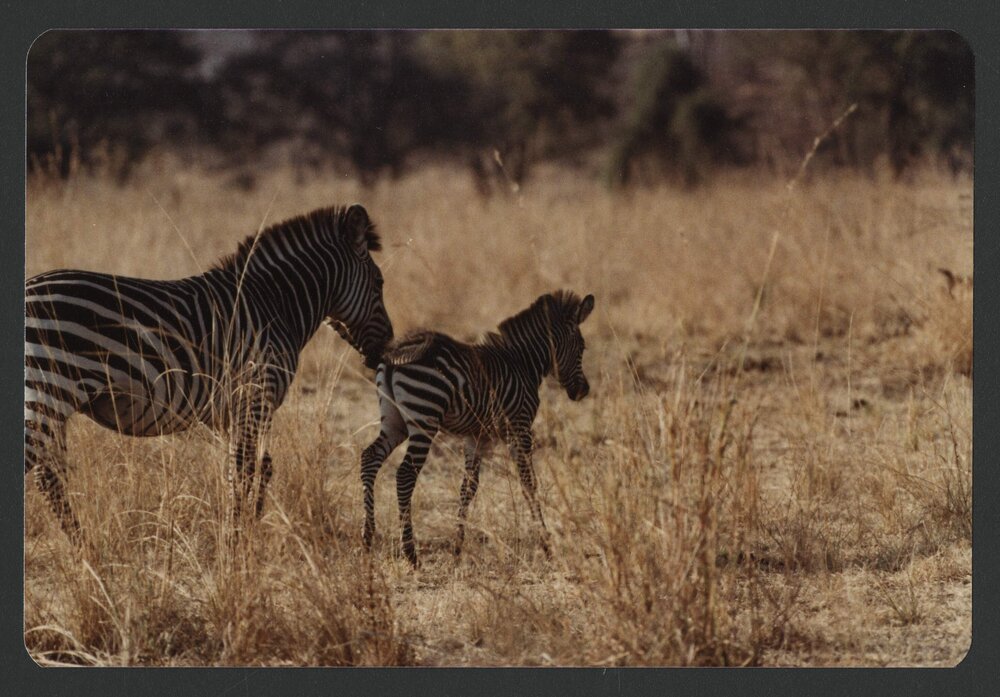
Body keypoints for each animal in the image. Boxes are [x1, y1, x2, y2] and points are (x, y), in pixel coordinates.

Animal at [25, 204, 393, 540]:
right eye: (379, 283)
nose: (387, 346)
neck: (274, 304)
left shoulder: (237, 407)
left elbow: (252, 466)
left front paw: (244, 527)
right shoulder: (256, 393)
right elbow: (246, 468)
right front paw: (237, 538)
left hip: (51, 404)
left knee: (51, 475)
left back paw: (82, 545)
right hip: (48, 393)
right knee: (45, 474)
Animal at [360, 290, 595, 566]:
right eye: (581, 348)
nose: (583, 391)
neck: (523, 364)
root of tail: (395, 354)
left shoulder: (476, 435)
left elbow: (468, 488)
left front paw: (457, 548)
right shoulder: (520, 428)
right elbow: (529, 484)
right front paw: (546, 545)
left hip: (394, 420)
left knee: (370, 457)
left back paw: (367, 537)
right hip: (424, 414)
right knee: (406, 473)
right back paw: (410, 553)